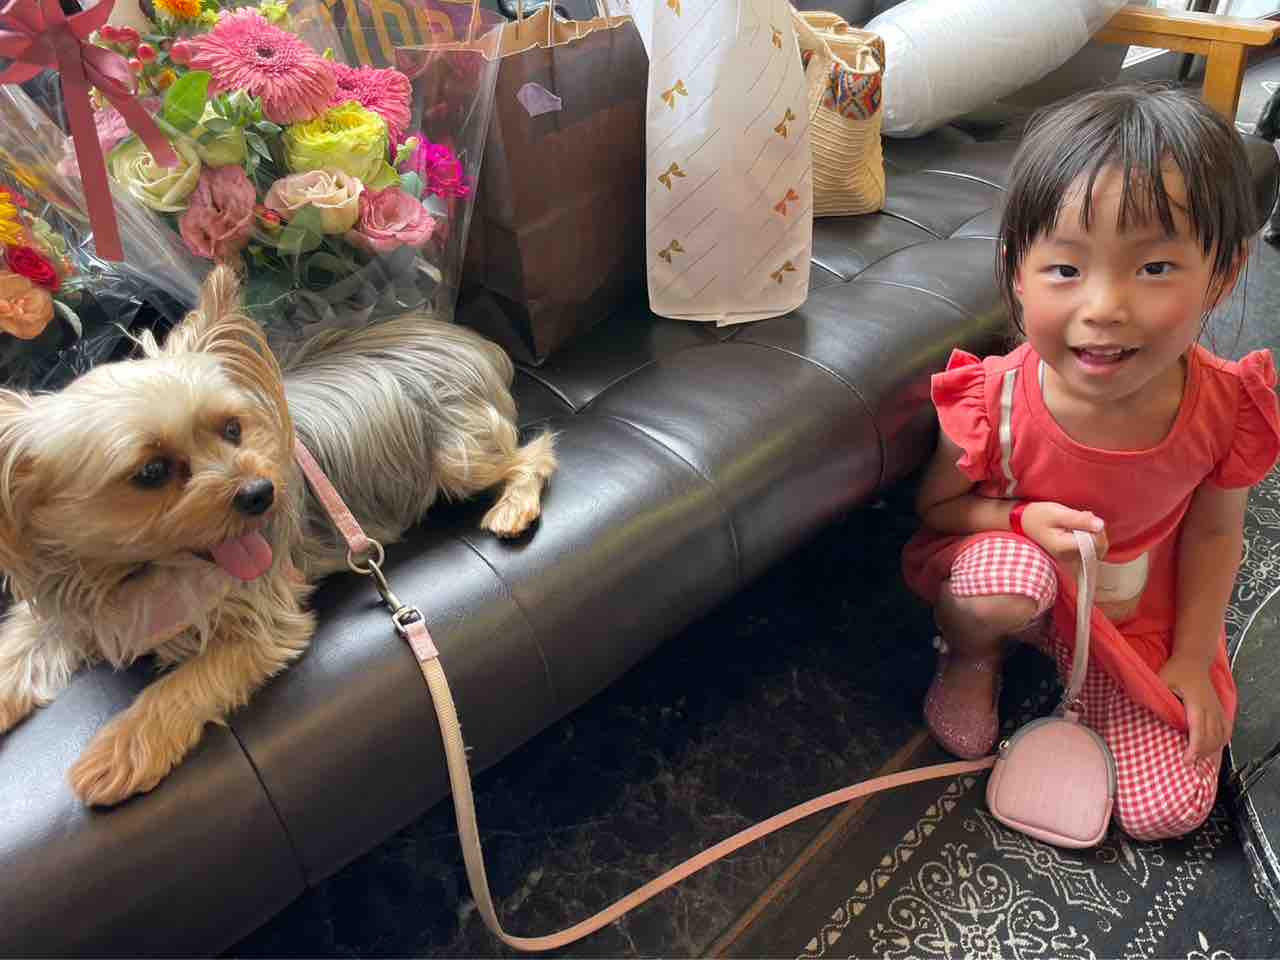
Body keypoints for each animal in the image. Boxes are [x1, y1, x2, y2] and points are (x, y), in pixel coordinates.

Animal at [0, 266, 556, 806]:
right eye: (152, 472)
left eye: (232, 429)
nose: (260, 492)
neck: (140, 572)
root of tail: (466, 339)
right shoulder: (75, 601)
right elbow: (23, 642)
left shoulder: (261, 621)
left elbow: (188, 681)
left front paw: (120, 749)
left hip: (459, 456)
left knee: (534, 453)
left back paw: (513, 508)